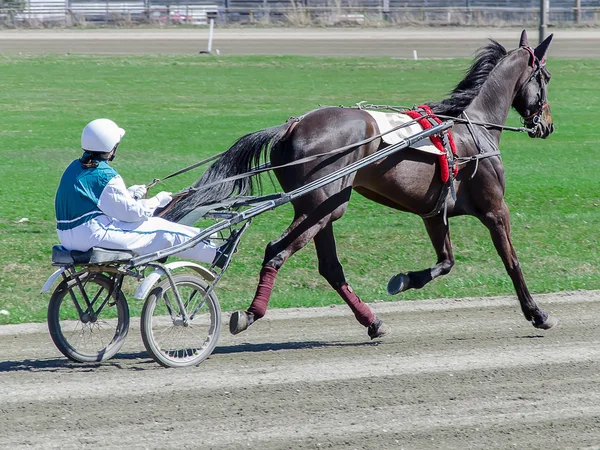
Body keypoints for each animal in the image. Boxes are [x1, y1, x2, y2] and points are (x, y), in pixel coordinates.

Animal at [163, 29, 556, 338]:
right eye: (546, 77)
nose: (547, 125)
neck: (471, 128)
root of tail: (292, 125)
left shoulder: (433, 213)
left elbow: (445, 262)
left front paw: (403, 280)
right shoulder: (495, 209)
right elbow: (511, 261)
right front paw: (537, 313)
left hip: (323, 208)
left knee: (329, 267)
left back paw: (372, 321)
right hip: (323, 205)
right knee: (277, 251)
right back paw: (250, 313)